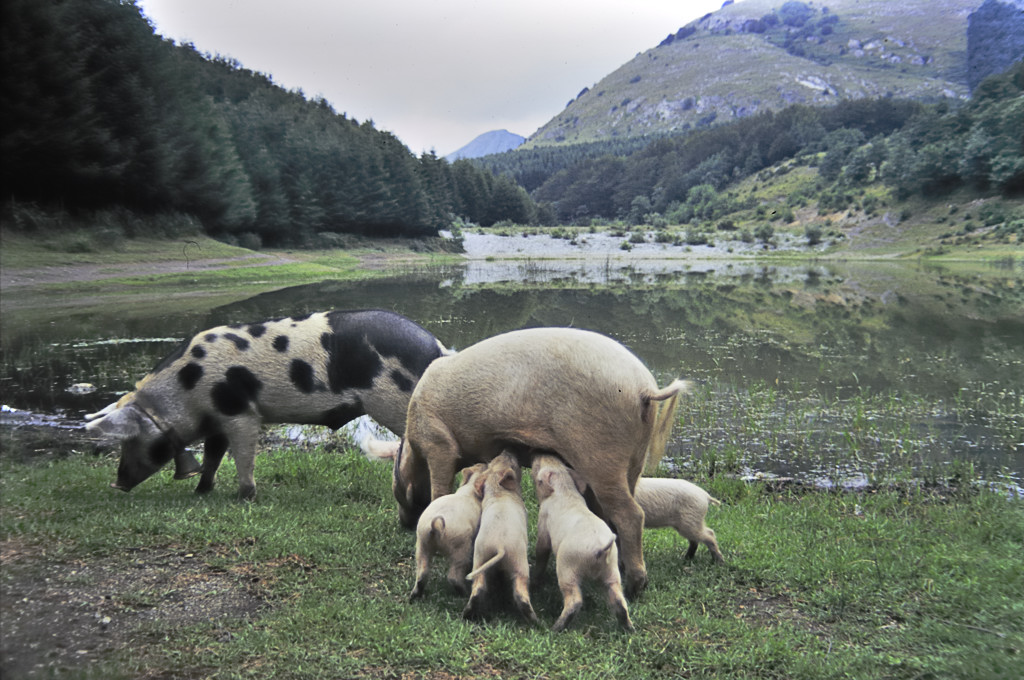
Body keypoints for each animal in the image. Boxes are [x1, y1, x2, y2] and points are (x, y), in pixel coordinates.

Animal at [82, 309, 444, 499]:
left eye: (132, 439)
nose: (117, 483)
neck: (188, 387)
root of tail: (437, 348)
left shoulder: (240, 412)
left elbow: (243, 455)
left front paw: (244, 496)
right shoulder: (217, 419)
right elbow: (212, 456)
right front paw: (201, 491)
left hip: (397, 402)